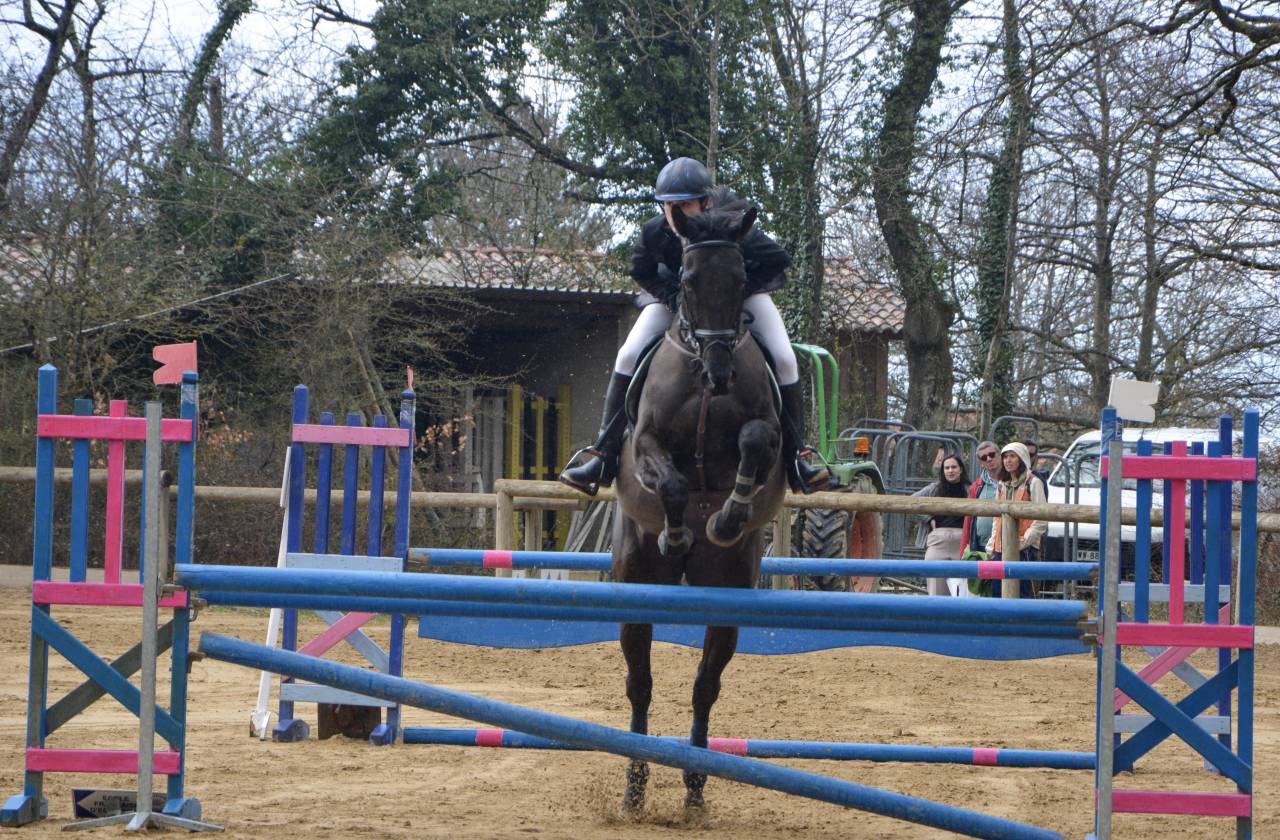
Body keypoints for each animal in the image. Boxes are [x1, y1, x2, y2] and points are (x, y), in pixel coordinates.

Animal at [611, 200, 787, 818]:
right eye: (686, 280)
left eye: (739, 279)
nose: (719, 372)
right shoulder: (646, 440)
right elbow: (670, 482)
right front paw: (678, 532)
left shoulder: (766, 433)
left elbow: (756, 441)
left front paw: (726, 517)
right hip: (634, 587)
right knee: (640, 684)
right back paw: (635, 787)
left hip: (728, 595)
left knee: (704, 687)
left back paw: (693, 784)